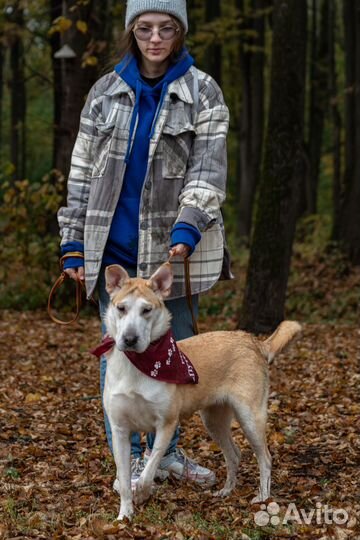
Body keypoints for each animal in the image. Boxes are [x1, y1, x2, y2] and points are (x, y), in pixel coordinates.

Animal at [102, 262, 300, 520]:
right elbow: (126, 479)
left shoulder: (166, 425)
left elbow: (149, 468)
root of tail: (254, 341)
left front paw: (143, 493)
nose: (129, 339)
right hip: (213, 421)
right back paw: (226, 491)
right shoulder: (120, 431)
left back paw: (263, 498)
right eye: (121, 308)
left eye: (146, 310)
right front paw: (125, 514)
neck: (139, 364)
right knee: (234, 454)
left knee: (265, 458)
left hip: (250, 417)